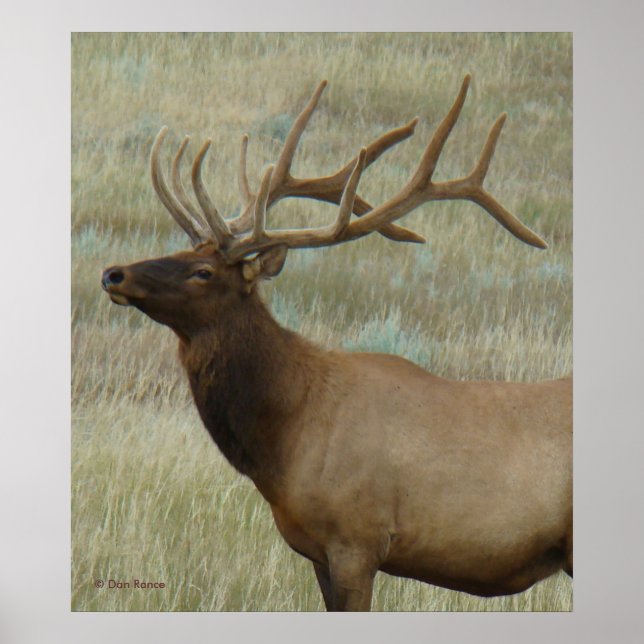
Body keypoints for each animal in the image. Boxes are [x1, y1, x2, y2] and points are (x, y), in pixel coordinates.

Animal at [101, 75, 572, 611]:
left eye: (203, 271)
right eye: (182, 250)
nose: (113, 273)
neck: (284, 440)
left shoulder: (356, 539)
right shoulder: (316, 552)